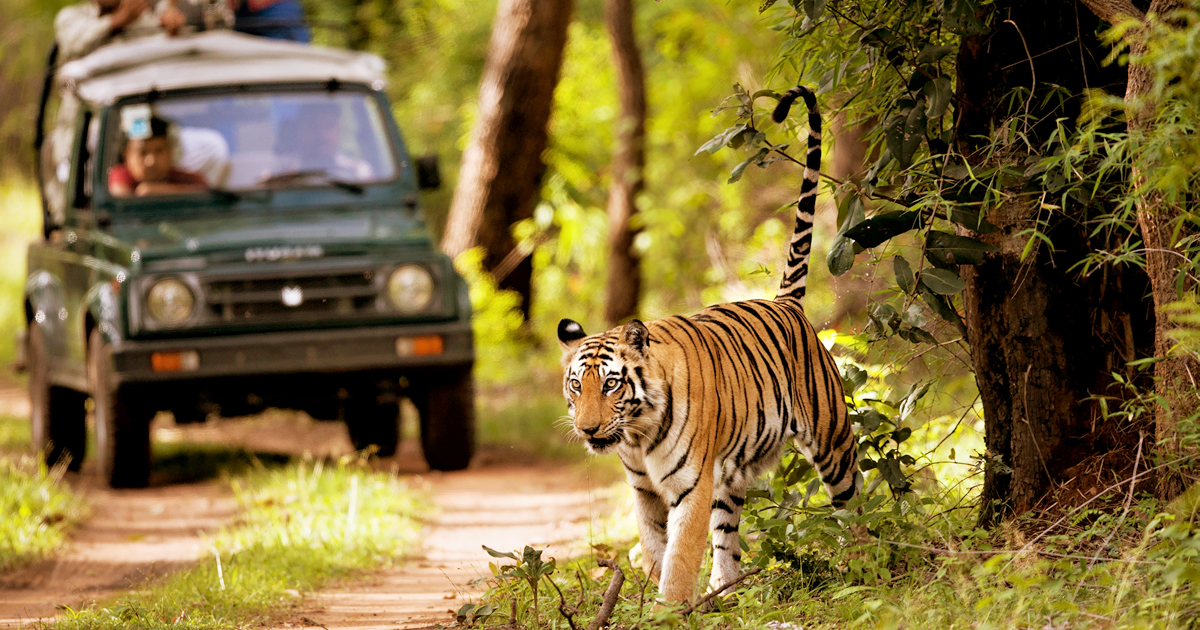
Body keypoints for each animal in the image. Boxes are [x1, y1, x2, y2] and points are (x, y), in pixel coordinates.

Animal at [556, 84, 859, 600]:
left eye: (611, 384)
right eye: (578, 385)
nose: (588, 429)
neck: (635, 434)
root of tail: (786, 303)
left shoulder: (689, 485)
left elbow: (679, 557)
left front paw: (670, 606)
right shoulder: (644, 489)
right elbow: (654, 548)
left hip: (831, 440)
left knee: (854, 500)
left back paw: (871, 553)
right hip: (730, 472)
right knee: (728, 533)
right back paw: (725, 589)